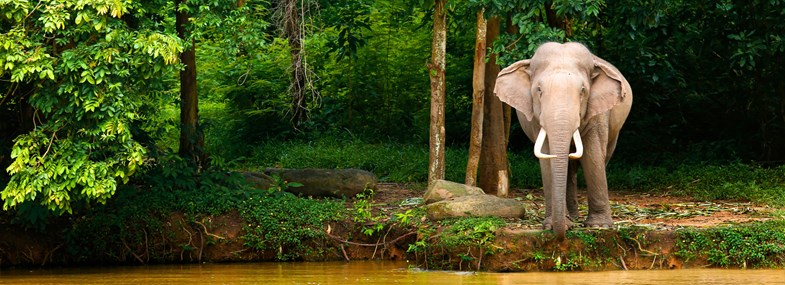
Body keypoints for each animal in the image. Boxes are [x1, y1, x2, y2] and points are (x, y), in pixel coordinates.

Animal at [494, 41, 632, 239]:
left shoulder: (599, 113)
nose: (561, 235)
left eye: (582, 91)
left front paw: (599, 226)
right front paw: (553, 225)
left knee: (601, 157)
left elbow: (592, 155)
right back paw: (572, 217)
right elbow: (547, 156)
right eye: (539, 90)